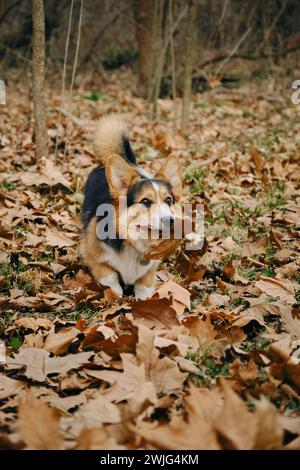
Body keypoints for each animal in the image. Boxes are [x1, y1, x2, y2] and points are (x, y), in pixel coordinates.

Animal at [80, 114, 180, 300]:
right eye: (146, 202)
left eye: (169, 200)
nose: (170, 221)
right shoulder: (95, 256)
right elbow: (109, 278)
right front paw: (115, 295)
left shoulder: (150, 268)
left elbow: (144, 286)